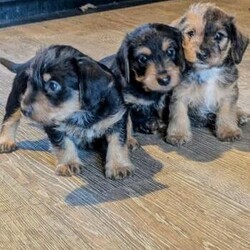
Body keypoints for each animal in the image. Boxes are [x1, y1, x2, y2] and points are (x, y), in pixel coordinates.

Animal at [0, 44, 135, 178]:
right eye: (30, 82)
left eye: (53, 85)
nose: (25, 110)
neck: (80, 113)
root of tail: (26, 62)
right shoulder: (53, 125)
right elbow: (63, 144)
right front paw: (69, 163)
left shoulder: (117, 118)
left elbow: (118, 142)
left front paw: (118, 165)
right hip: (16, 98)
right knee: (10, 119)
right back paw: (6, 141)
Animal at [167, 2, 249, 146]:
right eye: (191, 33)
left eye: (218, 36)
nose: (201, 54)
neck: (207, 72)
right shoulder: (179, 95)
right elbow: (178, 115)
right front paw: (178, 134)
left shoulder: (228, 93)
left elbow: (227, 112)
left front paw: (228, 130)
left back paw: (240, 114)